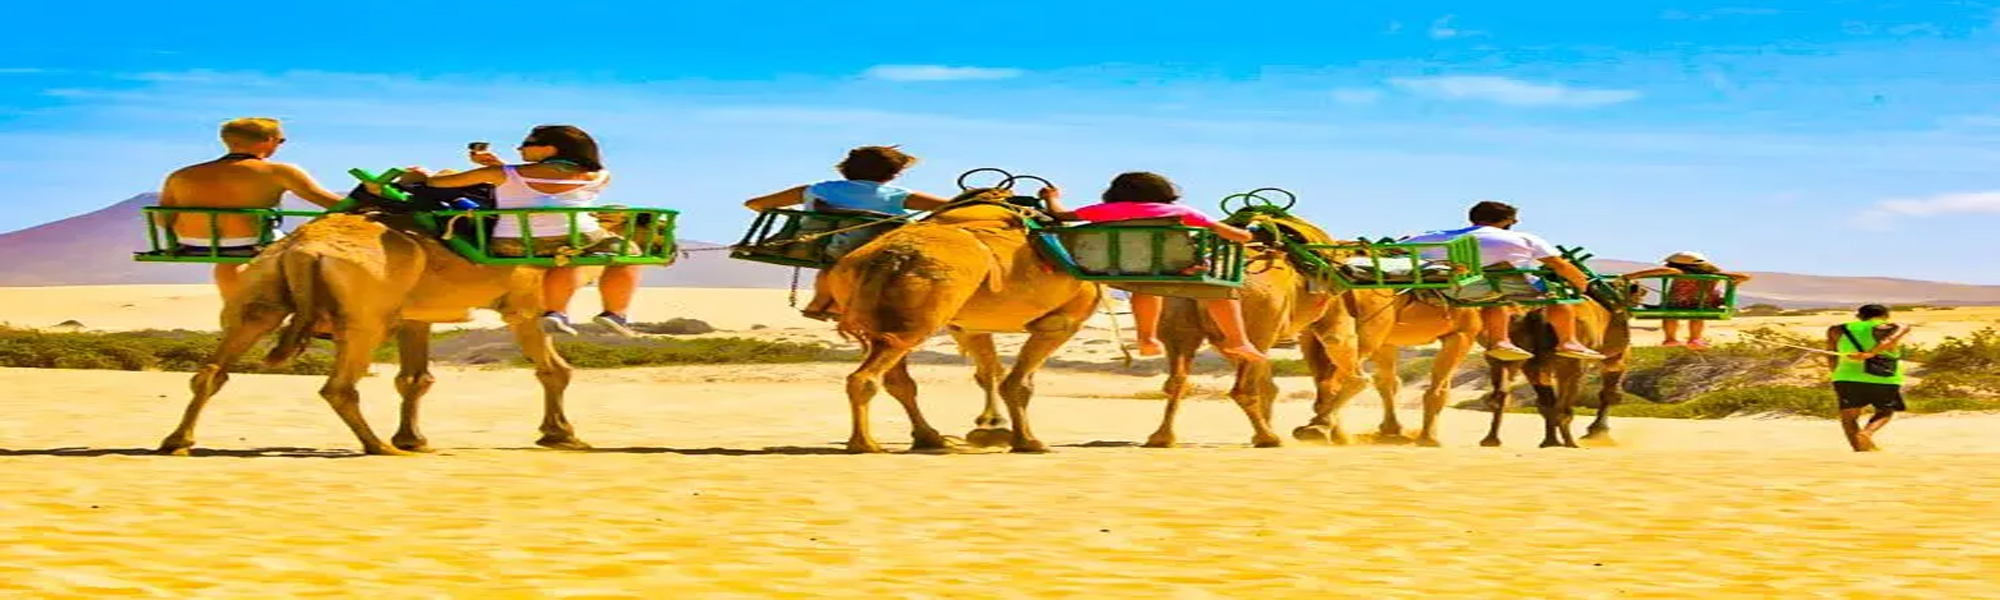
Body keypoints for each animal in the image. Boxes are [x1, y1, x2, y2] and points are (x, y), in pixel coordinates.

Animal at [152, 200, 657, 455]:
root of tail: (302, 248)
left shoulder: (416, 316)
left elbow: (415, 379)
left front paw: (414, 439)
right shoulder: (523, 307)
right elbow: (555, 370)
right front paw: (562, 434)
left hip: (258, 297)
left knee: (212, 371)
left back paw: (177, 442)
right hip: (365, 315)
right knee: (339, 386)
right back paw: (378, 447)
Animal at [824, 187, 1100, 454]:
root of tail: (889, 257)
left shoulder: (969, 327)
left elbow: (988, 373)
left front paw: (991, 429)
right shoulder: (1061, 322)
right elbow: (1017, 384)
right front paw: (1027, 442)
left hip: (880, 317)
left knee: (897, 379)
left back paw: (929, 438)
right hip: (922, 316)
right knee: (866, 377)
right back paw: (865, 444)